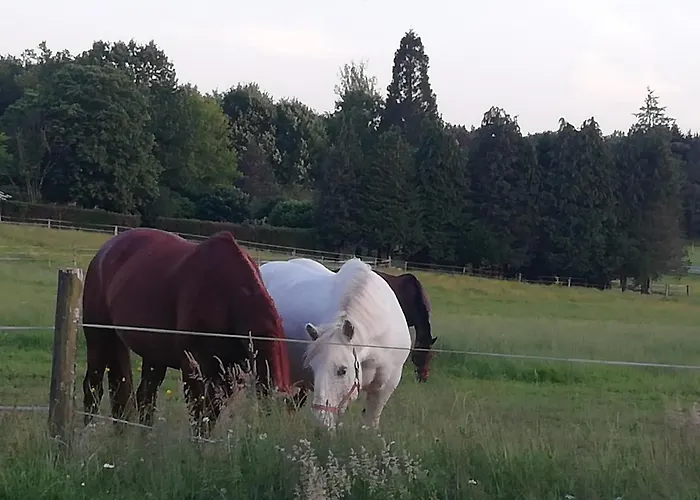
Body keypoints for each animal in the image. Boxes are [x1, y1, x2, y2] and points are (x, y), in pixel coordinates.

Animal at [81, 228, 292, 438]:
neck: (228, 296)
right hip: (97, 338)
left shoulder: (228, 375)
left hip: (153, 354)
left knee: (141, 396)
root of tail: (105, 250)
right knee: (93, 386)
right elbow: (200, 417)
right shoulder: (193, 367)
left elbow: (210, 415)